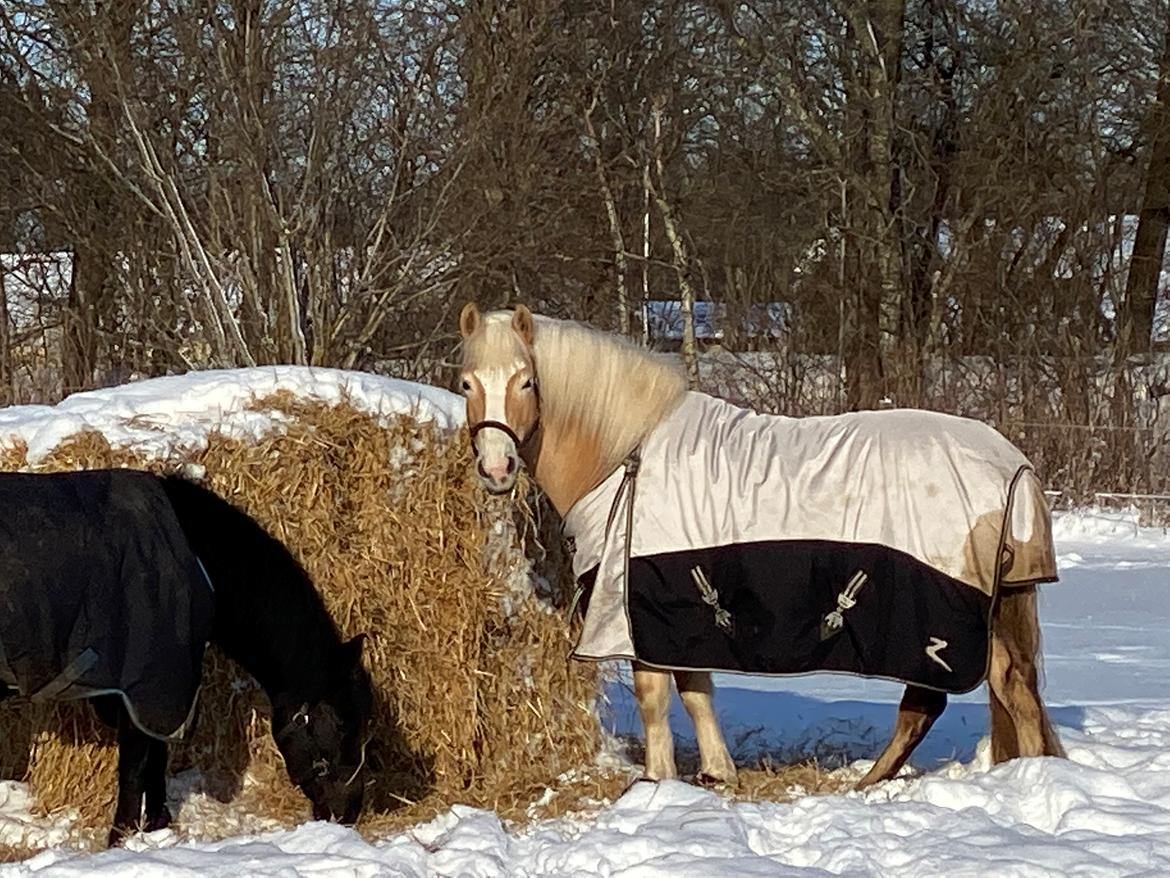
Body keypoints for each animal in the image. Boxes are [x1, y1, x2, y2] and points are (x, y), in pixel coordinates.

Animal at [0, 470, 372, 847]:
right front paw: (120, 842)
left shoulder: (156, 693)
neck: (197, 558)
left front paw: (155, 827)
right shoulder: (144, 688)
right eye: (341, 723)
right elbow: (134, 772)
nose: (350, 808)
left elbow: (154, 761)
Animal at [458, 302, 1071, 791]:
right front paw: (715, 772)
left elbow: (655, 696)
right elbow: (695, 690)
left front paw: (657, 781)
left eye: (527, 381)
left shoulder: (641, 610)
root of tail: (1011, 465)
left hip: (940, 622)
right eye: (466, 383)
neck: (628, 453)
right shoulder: (683, 615)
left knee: (989, 694)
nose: (496, 469)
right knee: (978, 696)